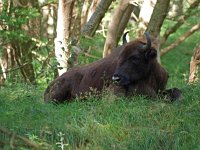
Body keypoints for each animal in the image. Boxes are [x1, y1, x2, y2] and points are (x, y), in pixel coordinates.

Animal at [43, 32, 181, 103]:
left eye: (135, 58)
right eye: (119, 58)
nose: (116, 79)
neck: (150, 76)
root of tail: (50, 86)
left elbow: (177, 91)